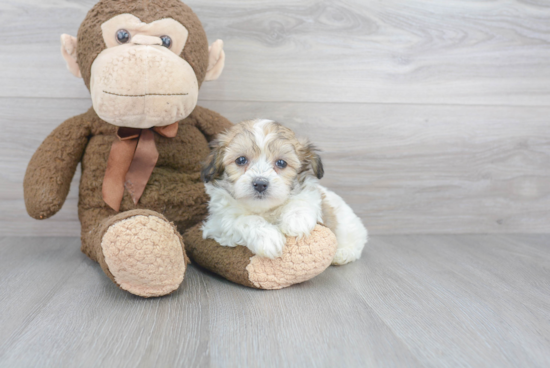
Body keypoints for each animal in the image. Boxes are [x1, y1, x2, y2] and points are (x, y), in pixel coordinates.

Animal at [201, 118, 368, 264]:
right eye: (241, 160)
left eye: (281, 163)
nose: (260, 183)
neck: (265, 210)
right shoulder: (218, 224)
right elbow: (242, 220)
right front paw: (267, 237)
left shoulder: (310, 194)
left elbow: (303, 200)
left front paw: (297, 221)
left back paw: (342, 253)